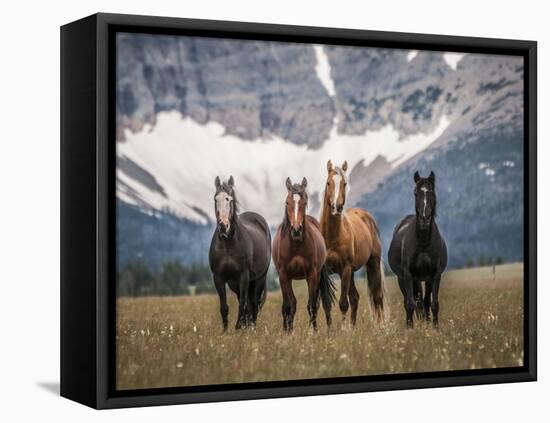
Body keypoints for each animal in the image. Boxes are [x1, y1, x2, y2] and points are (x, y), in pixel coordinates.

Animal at [209, 176, 272, 332]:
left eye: (229, 199)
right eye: (215, 199)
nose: (223, 226)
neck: (228, 245)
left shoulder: (244, 276)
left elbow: (243, 304)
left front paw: (238, 327)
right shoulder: (219, 277)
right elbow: (224, 307)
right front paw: (225, 331)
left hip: (259, 278)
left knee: (254, 303)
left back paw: (252, 326)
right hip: (235, 283)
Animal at [272, 177, 336, 332]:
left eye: (305, 203)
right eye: (287, 203)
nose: (296, 230)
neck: (295, 245)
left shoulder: (312, 274)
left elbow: (312, 305)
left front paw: (313, 332)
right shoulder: (284, 275)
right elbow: (288, 306)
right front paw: (287, 332)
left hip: (319, 275)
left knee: (324, 303)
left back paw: (329, 328)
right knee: (290, 304)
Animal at [322, 160, 386, 324]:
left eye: (344, 183)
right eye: (328, 183)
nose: (336, 207)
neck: (332, 236)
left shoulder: (345, 268)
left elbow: (343, 303)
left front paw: (344, 328)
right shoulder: (323, 271)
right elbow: (326, 304)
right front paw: (330, 329)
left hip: (372, 263)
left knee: (377, 297)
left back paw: (381, 326)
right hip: (351, 272)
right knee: (355, 298)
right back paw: (354, 326)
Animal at [388, 171, 448, 328]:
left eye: (432, 192)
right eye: (415, 193)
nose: (424, 218)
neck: (423, 242)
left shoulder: (435, 274)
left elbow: (433, 303)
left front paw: (434, 327)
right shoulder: (408, 275)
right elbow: (410, 304)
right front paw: (410, 327)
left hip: (424, 279)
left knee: (424, 302)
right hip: (403, 279)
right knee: (411, 301)